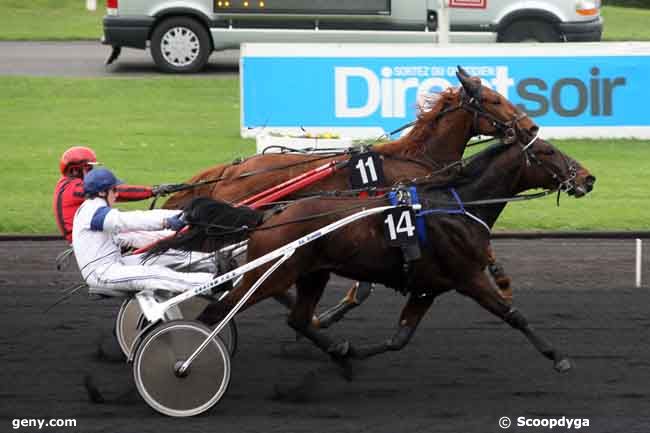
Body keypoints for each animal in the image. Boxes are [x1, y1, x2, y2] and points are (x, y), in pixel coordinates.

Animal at [165, 135, 596, 372]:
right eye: (548, 152)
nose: (588, 178)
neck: (457, 204)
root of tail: (268, 214)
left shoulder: (427, 288)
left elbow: (398, 338)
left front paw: (352, 351)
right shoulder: (468, 277)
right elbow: (513, 314)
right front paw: (557, 356)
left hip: (312, 272)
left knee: (298, 319)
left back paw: (337, 351)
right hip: (271, 274)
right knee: (218, 311)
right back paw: (187, 356)